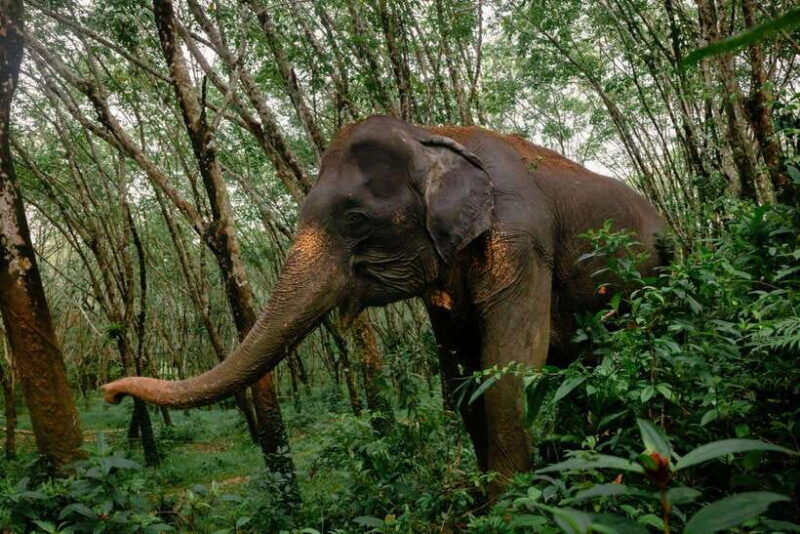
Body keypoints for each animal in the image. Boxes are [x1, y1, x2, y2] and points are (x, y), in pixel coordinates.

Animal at [103, 114, 667, 491]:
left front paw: (512, 506)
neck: (432, 134)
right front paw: (487, 501)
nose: (108, 392)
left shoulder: (523, 240)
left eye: (355, 220)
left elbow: (509, 364)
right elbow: (459, 374)